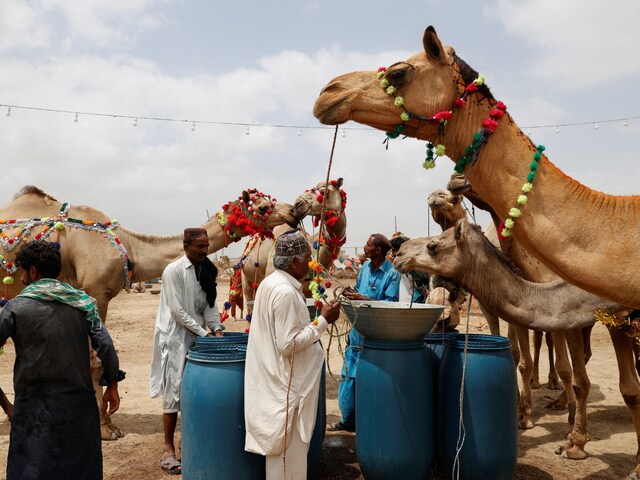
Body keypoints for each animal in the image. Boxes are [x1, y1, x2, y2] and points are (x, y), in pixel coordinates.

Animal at [0, 185, 296, 438]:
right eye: (262, 206)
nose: (293, 211)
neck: (130, 248)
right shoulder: (96, 293)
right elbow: (96, 361)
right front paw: (107, 427)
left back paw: (13, 413)